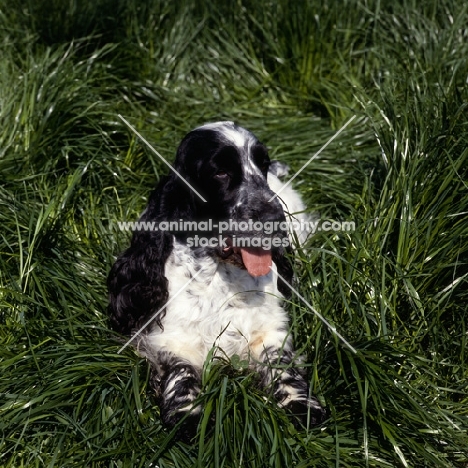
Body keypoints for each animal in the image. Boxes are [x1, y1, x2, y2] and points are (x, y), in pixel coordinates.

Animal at [107, 120, 324, 438]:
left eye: (262, 164)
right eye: (220, 172)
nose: (274, 219)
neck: (219, 275)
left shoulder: (268, 329)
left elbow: (281, 362)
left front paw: (301, 403)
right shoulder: (170, 338)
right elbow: (180, 371)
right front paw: (185, 413)